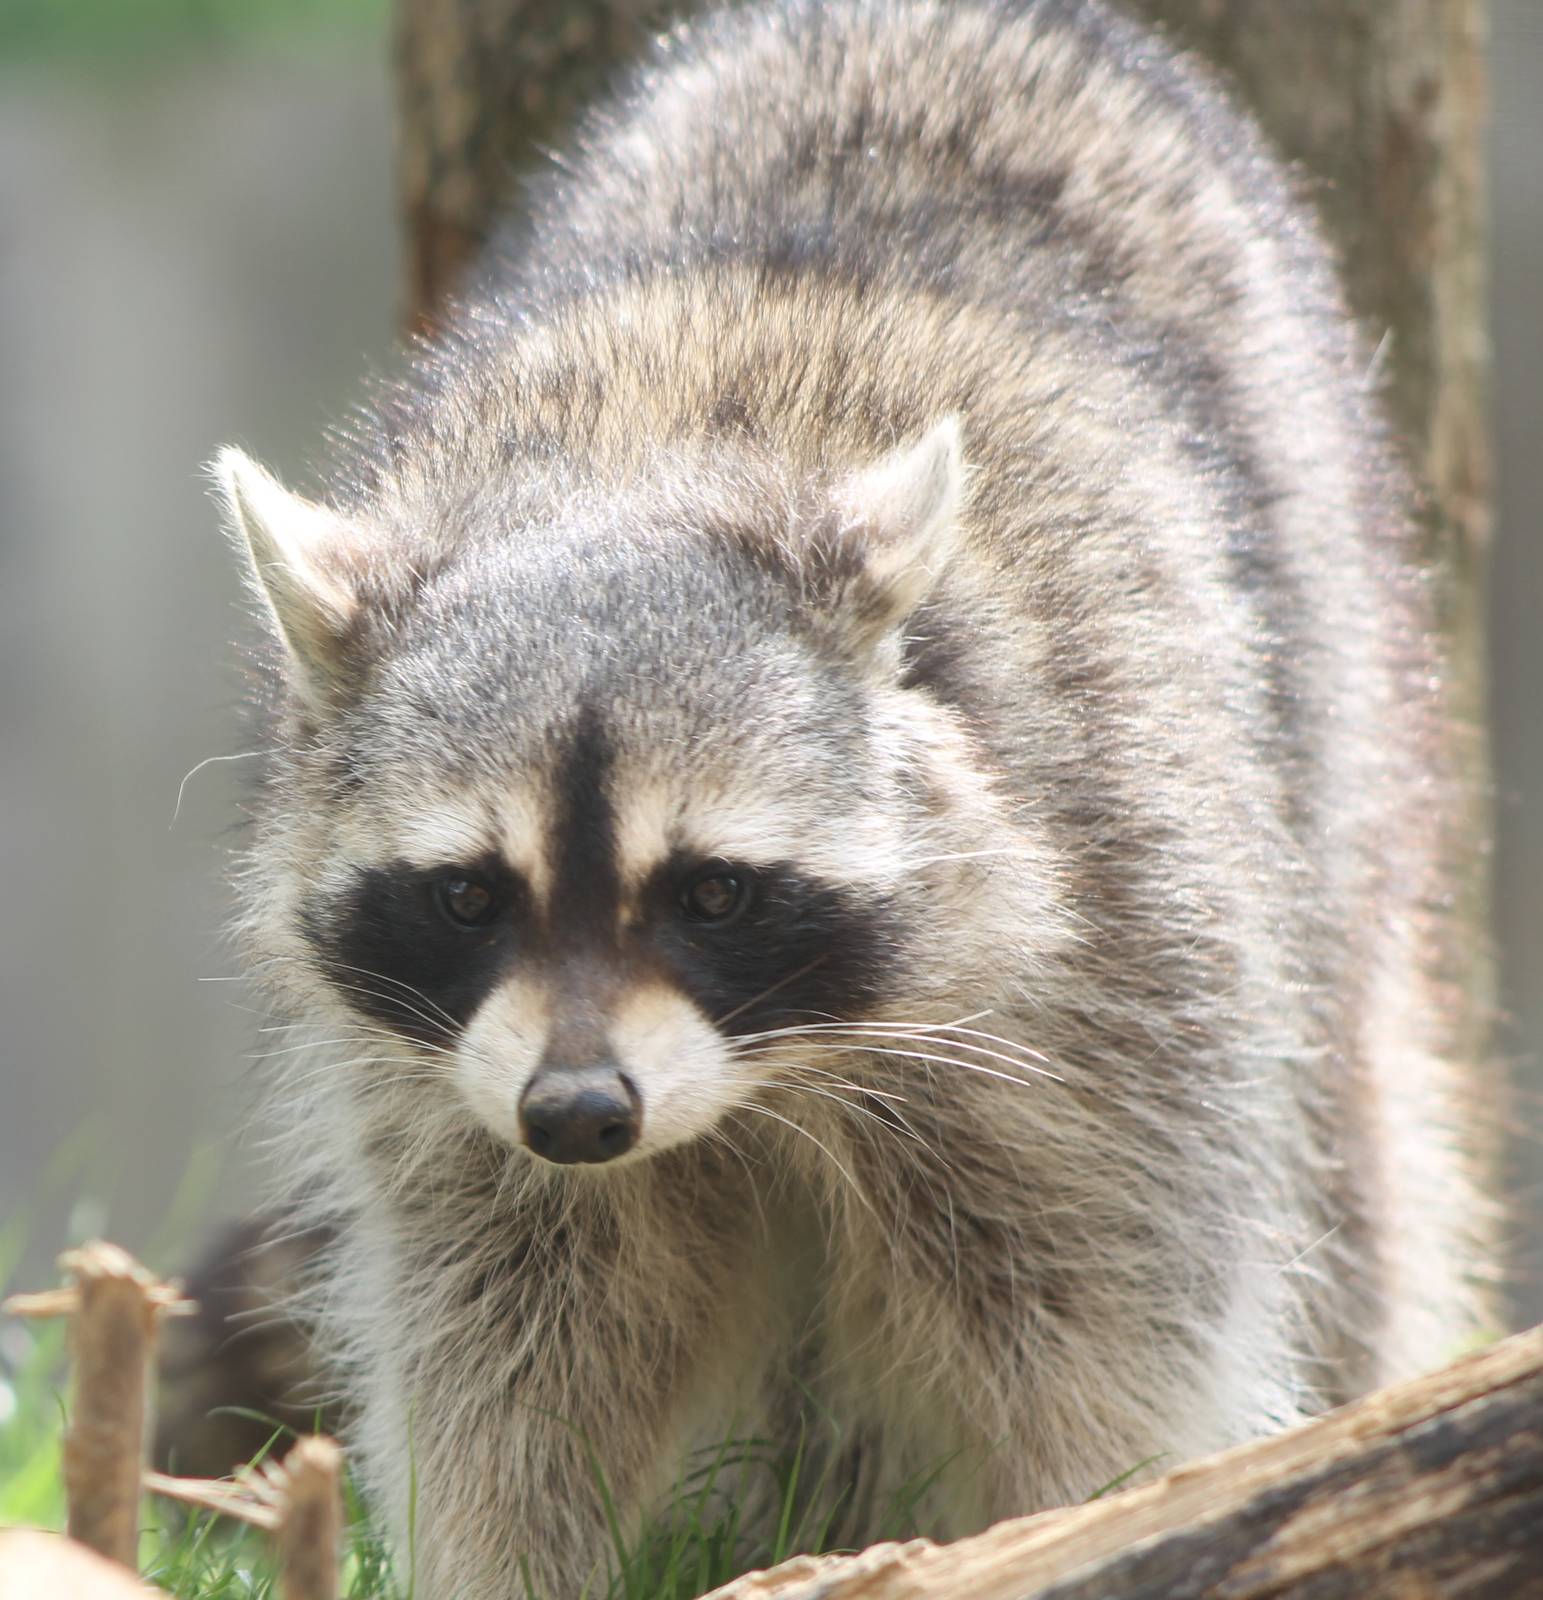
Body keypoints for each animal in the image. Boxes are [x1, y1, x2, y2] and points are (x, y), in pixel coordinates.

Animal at [213, 0, 1490, 1592]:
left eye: (711, 890)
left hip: (1329, 657)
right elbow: (516, 1340)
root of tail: (937, 17)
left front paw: (1101, 1518)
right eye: (466, 893)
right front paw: (493, 1551)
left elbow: (1108, 1315)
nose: (578, 1110)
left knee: (1349, 1150)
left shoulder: (1117, 929)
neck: (639, 473)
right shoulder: (443, 1092)